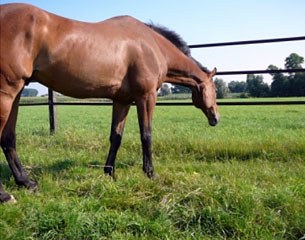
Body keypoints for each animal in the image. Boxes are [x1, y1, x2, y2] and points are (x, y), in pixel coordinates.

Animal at [0, 3, 218, 202]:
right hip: (7, 93)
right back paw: (5, 195)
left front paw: (109, 172)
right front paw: (151, 173)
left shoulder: (122, 100)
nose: (216, 118)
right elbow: (146, 135)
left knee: (8, 139)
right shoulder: (146, 97)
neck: (151, 44)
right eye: (215, 89)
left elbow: (116, 137)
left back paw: (26, 182)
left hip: (16, 92)